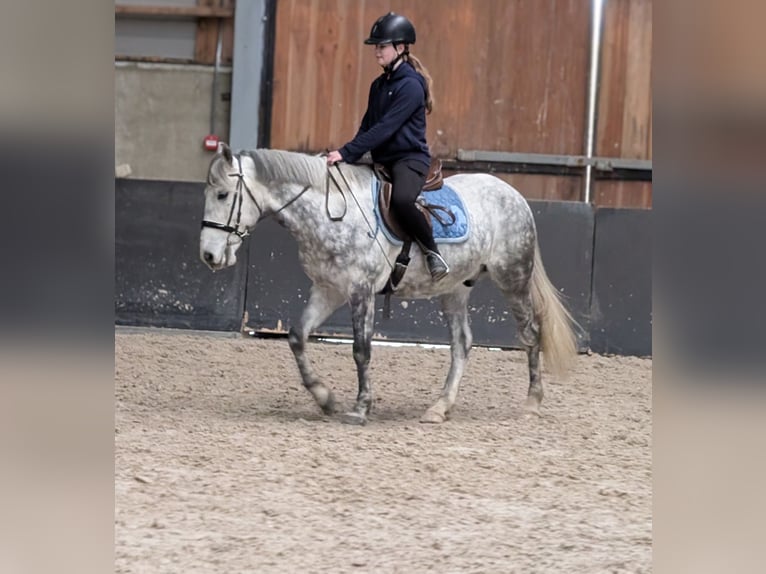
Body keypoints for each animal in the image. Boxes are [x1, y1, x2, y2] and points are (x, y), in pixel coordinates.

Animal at [199, 143, 577, 425]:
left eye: (222, 195)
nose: (208, 255)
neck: (329, 212)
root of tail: (513, 194)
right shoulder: (328, 290)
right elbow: (296, 337)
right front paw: (326, 399)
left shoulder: (360, 290)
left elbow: (361, 350)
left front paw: (360, 408)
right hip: (455, 289)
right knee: (461, 344)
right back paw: (440, 407)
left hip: (512, 277)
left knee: (529, 334)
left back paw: (532, 403)